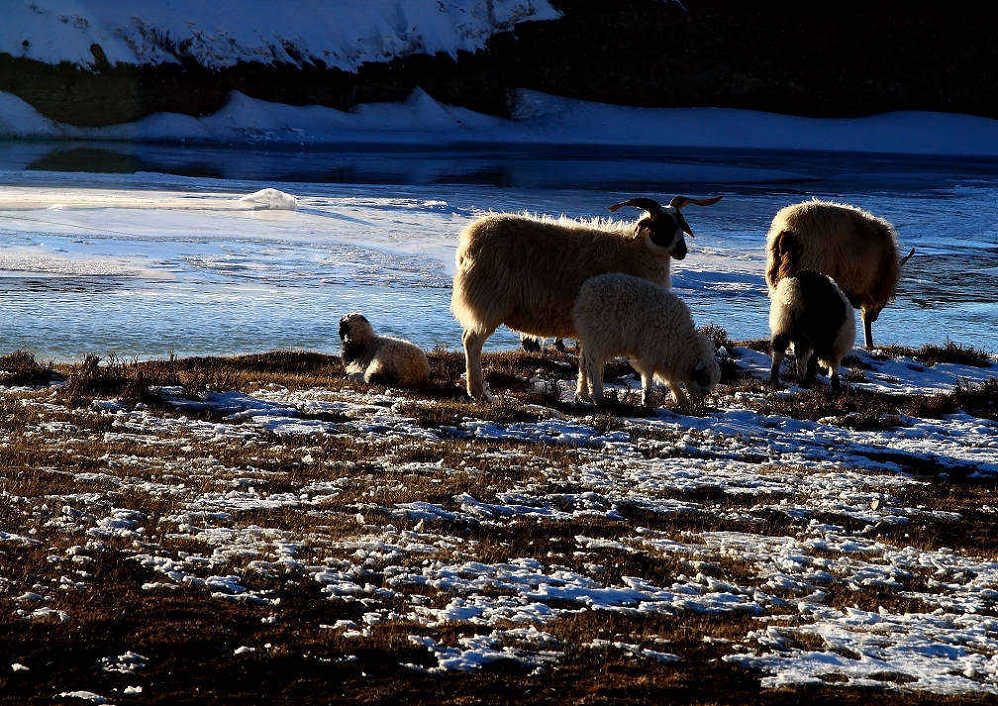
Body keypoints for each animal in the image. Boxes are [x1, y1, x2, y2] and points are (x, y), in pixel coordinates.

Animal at [572, 274, 720, 408]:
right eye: (704, 380)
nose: (699, 402)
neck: (683, 346)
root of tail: (586, 290)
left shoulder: (662, 356)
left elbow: (667, 379)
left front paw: (680, 397)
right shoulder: (651, 353)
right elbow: (648, 377)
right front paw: (647, 399)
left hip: (591, 337)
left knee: (584, 363)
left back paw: (582, 393)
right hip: (600, 337)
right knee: (593, 365)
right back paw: (597, 395)